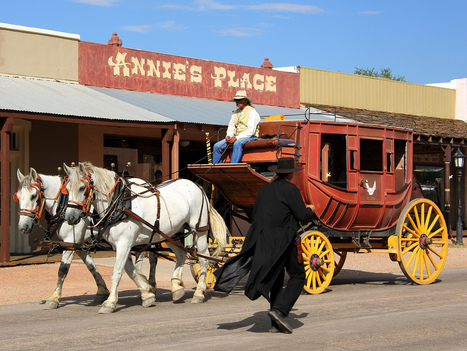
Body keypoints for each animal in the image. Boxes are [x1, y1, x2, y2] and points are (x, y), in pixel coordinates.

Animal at [64, 162, 229, 314]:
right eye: (67, 188)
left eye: (82, 187)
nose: (70, 217)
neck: (120, 204)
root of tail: (197, 186)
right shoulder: (119, 246)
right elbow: (131, 271)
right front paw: (147, 293)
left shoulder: (124, 243)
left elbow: (117, 272)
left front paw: (109, 303)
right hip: (171, 233)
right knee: (182, 254)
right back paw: (176, 287)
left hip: (199, 230)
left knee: (204, 259)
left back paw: (199, 293)